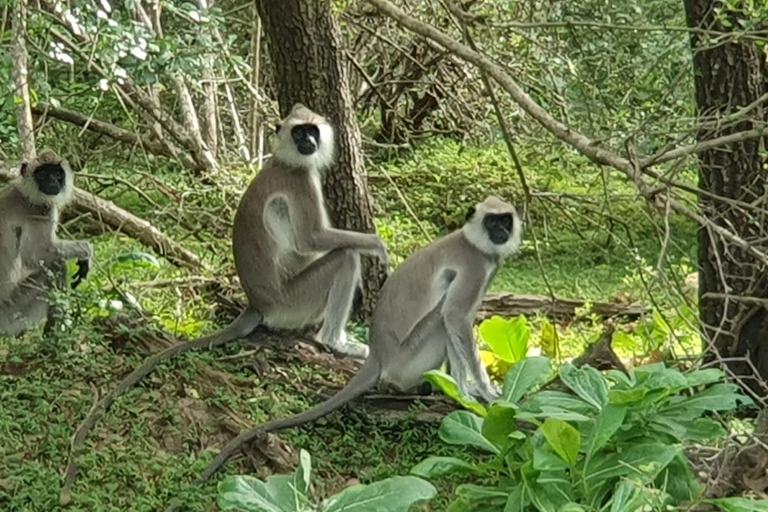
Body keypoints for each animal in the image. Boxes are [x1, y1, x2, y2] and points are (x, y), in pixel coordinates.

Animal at [0, 151, 94, 336]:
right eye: (43, 173)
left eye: (57, 173)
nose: (52, 181)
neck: (25, 195)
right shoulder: (41, 211)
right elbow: (37, 253)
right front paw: (86, 251)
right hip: (11, 313)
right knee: (56, 266)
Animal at [190, 103, 390, 358]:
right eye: (298, 132)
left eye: (311, 130)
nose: (308, 140)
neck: (284, 161)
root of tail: (257, 304)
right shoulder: (300, 181)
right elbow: (310, 240)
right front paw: (378, 245)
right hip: (293, 303)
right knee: (346, 257)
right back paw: (335, 341)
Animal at [198, 195, 524, 480]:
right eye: (492, 221)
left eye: (505, 220)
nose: (501, 230)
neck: (474, 243)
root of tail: (379, 355)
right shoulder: (475, 266)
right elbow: (456, 317)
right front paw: (484, 392)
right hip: (407, 358)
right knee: (442, 318)